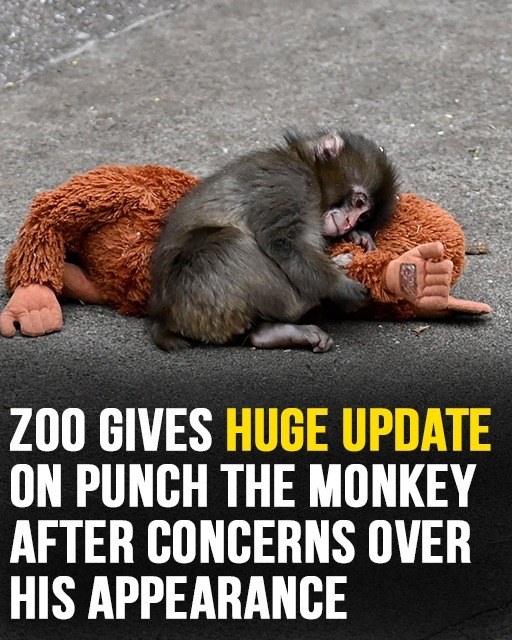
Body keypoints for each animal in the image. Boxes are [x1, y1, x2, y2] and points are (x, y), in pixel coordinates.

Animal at [150, 129, 398, 352]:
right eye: (358, 203)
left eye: (363, 216)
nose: (349, 223)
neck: (306, 167)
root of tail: (164, 319)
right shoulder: (290, 182)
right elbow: (282, 241)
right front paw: (339, 287)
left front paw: (358, 237)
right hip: (196, 292)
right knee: (232, 243)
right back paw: (306, 301)